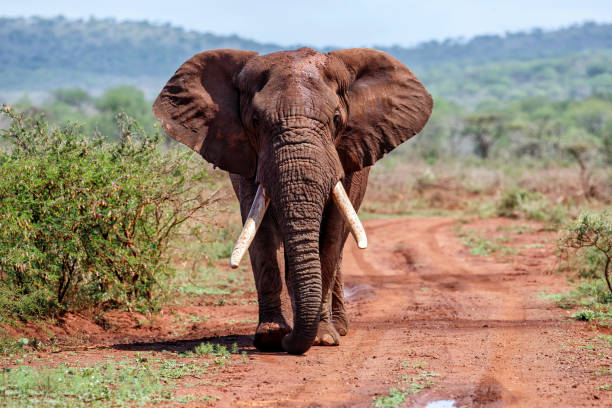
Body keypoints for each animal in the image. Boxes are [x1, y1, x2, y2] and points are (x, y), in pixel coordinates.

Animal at [152, 47, 430, 354]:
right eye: (256, 121)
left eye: (336, 119)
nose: (289, 342)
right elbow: (259, 231)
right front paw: (271, 336)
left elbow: (331, 234)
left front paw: (323, 338)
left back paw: (338, 328)